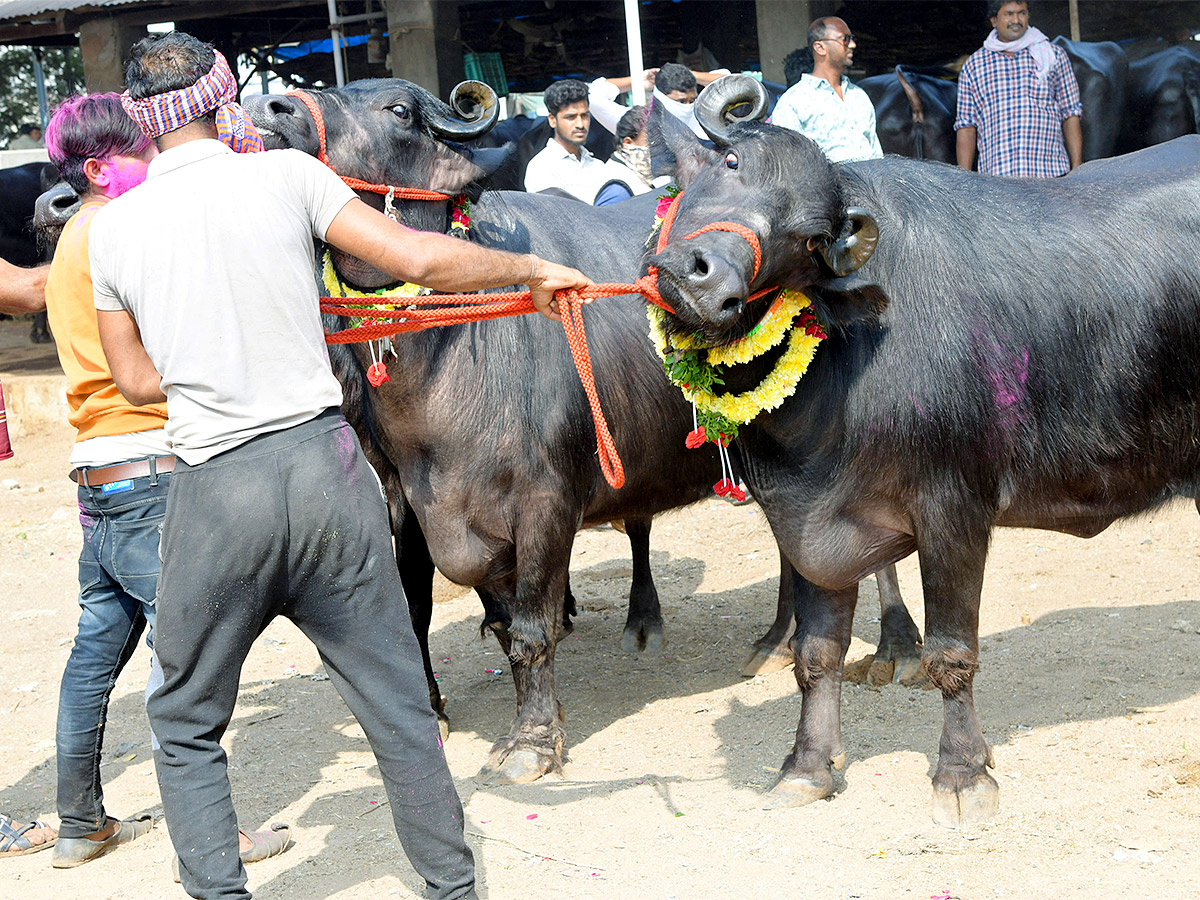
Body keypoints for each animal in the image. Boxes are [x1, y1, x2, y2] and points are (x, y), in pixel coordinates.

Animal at [241, 77, 916, 782]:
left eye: (397, 110)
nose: (271, 108)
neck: (449, 354)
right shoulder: (418, 506)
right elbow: (480, 620)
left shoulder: (545, 503)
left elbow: (530, 628)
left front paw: (532, 740)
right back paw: (775, 641)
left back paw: (895, 648)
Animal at [648, 79, 1200, 830]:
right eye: (730, 163)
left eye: (809, 237)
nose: (707, 279)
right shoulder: (809, 521)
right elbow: (816, 654)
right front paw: (806, 767)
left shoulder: (955, 510)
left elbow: (951, 654)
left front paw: (962, 774)